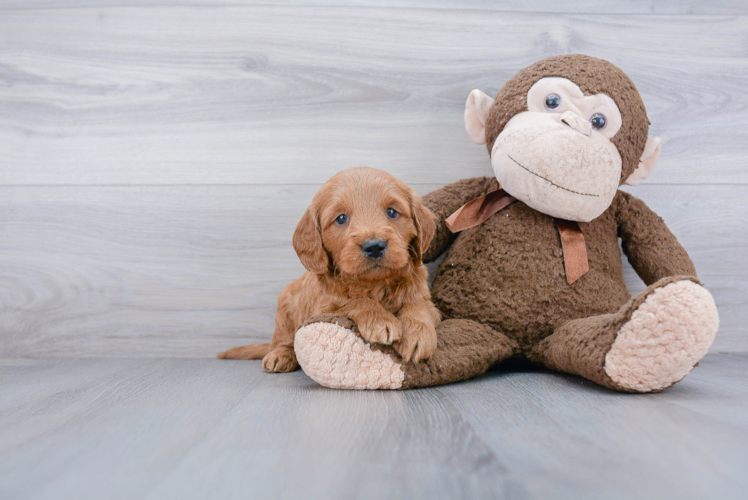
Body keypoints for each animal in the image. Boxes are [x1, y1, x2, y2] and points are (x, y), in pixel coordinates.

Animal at [216, 167, 442, 372]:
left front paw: (417, 334)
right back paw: (280, 355)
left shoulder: (423, 295)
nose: (374, 246)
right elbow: (353, 302)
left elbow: (419, 306)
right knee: (283, 340)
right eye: (341, 218)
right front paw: (380, 319)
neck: (375, 284)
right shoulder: (323, 308)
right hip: (285, 309)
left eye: (392, 212)